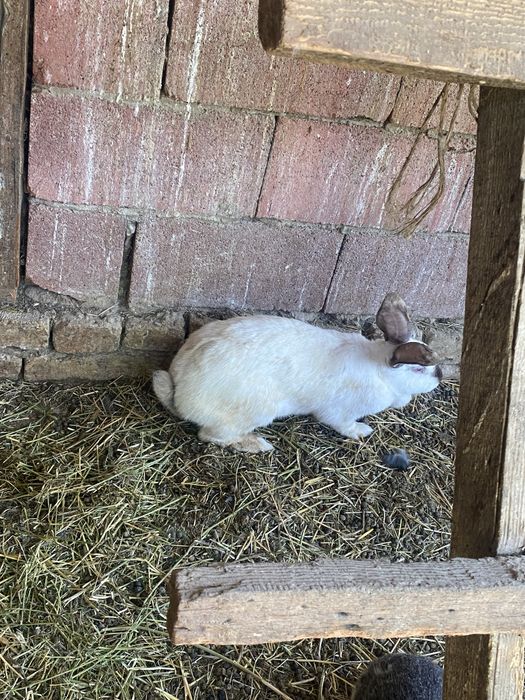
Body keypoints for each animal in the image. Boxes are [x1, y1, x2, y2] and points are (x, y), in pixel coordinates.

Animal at [152, 293, 442, 453]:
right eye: (418, 368)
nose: (439, 375)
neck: (379, 368)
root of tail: (180, 391)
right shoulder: (338, 413)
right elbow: (342, 424)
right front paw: (362, 431)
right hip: (253, 412)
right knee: (211, 435)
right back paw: (257, 444)